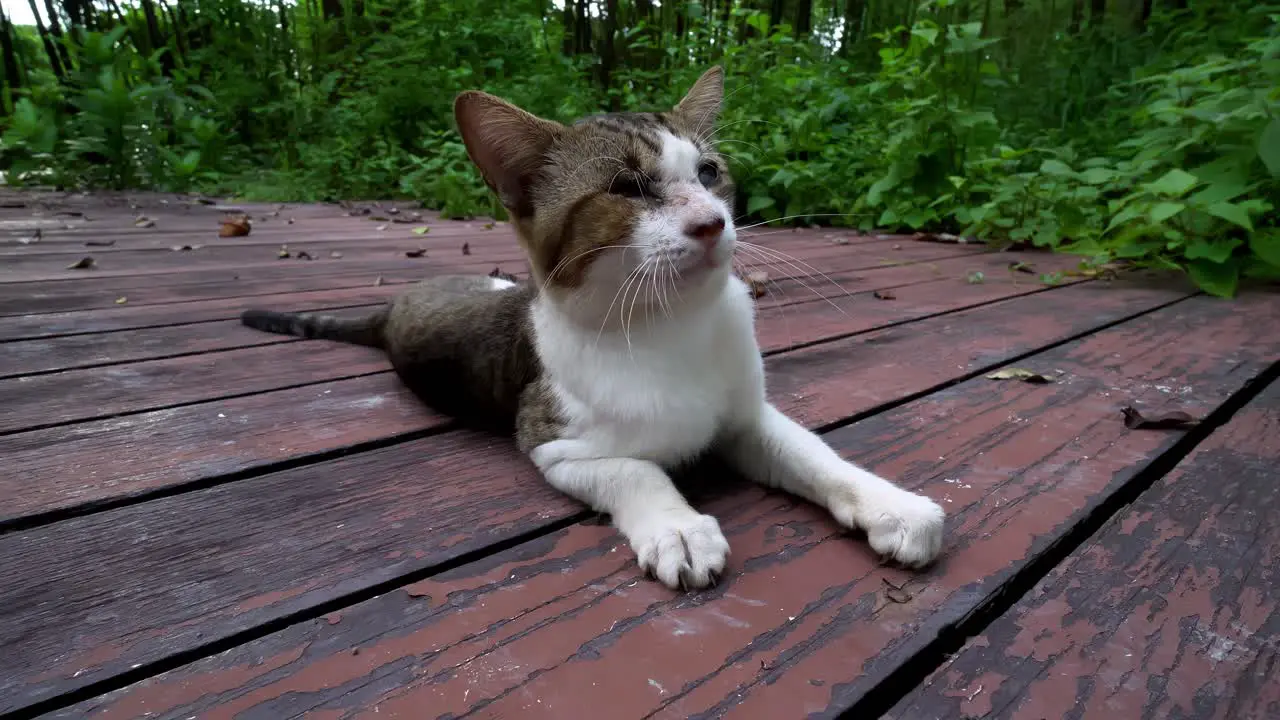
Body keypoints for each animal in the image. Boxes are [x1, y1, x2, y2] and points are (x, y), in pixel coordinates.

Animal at [241, 65, 942, 589]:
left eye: (708, 173)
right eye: (626, 187)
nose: (712, 222)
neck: (671, 324)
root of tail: (393, 310)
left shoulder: (744, 416)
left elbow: (809, 451)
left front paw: (889, 503)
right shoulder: (551, 442)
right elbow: (633, 468)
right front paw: (679, 527)